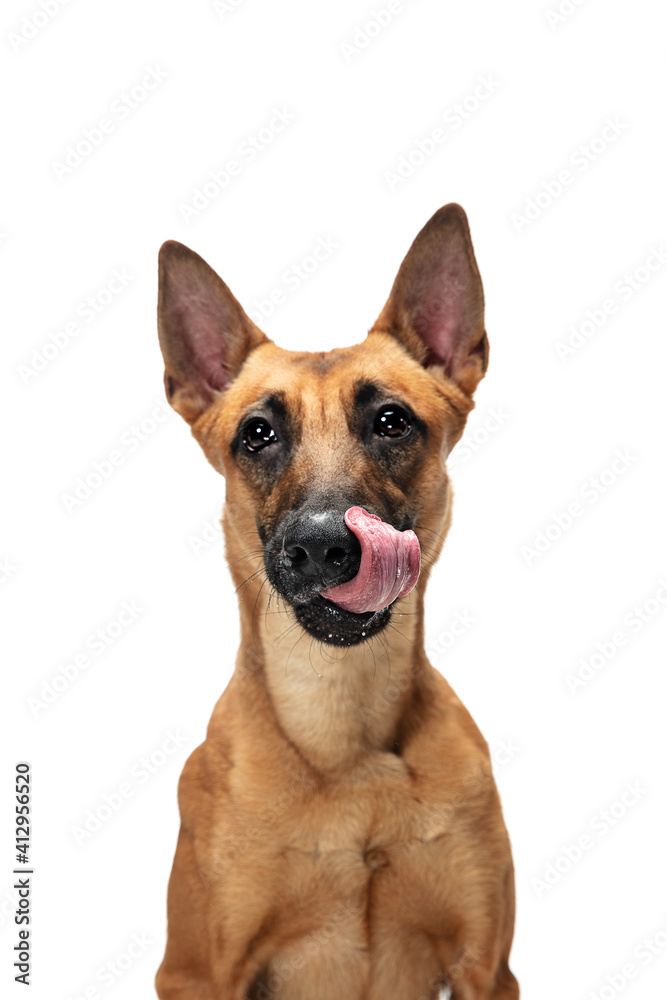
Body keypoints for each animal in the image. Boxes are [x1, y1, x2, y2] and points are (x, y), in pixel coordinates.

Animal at [154, 205, 520, 1000]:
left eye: (391, 421)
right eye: (257, 434)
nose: (323, 546)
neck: (343, 730)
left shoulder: (486, 966)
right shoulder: (208, 972)